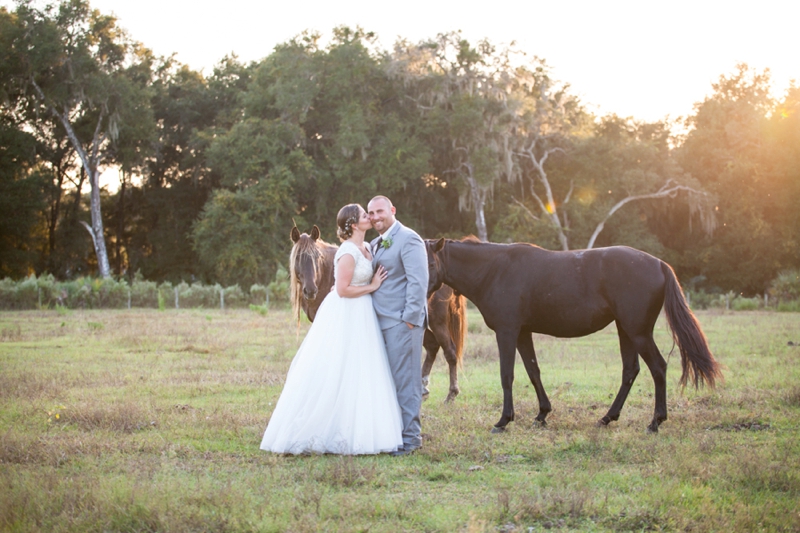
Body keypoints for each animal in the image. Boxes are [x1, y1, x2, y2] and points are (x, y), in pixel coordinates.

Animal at [290, 227, 468, 402]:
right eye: (298, 258)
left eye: (317, 257)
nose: (310, 290)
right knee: (433, 346)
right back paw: (423, 388)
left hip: (437, 323)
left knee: (449, 351)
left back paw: (451, 393)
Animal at [424, 237, 724, 432]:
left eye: (428, 264)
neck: (495, 270)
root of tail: (659, 264)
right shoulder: (522, 333)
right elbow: (533, 372)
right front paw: (542, 415)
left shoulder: (507, 332)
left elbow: (507, 375)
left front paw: (504, 420)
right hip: (625, 331)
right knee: (631, 371)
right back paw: (607, 418)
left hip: (638, 332)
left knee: (658, 368)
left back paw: (655, 421)